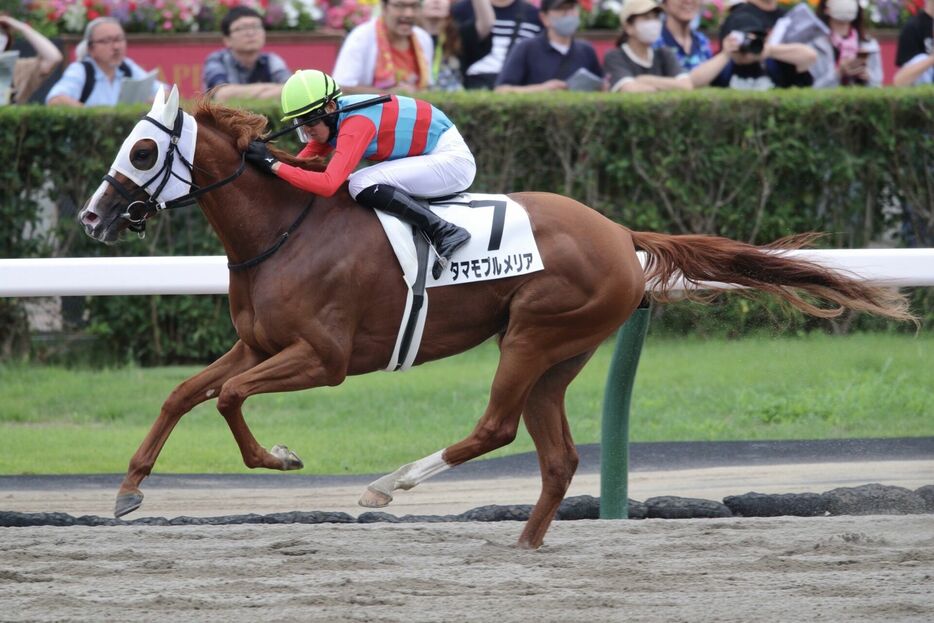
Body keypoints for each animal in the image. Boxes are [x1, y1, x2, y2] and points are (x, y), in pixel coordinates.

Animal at [80, 89, 916, 552]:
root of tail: (620, 232)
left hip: (533, 334)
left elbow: (227, 398)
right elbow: (183, 393)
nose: (92, 216)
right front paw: (127, 490)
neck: (284, 227)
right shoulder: (257, 342)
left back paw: (386, 487)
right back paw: (524, 539)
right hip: (561, 352)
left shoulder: (323, 356)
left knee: (495, 428)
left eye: (144, 149)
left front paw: (279, 457)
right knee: (558, 455)